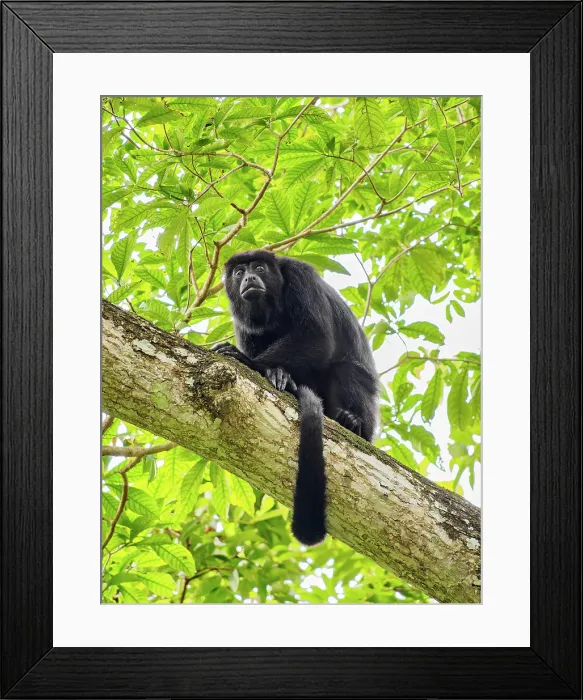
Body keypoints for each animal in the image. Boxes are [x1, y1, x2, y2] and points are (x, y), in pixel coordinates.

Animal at [213, 249, 379, 546]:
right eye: (239, 272)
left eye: (259, 267)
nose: (250, 278)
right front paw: (274, 372)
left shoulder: (301, 277)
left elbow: (317, 338)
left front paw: (249, 361)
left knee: (345, 370)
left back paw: (352, 422)